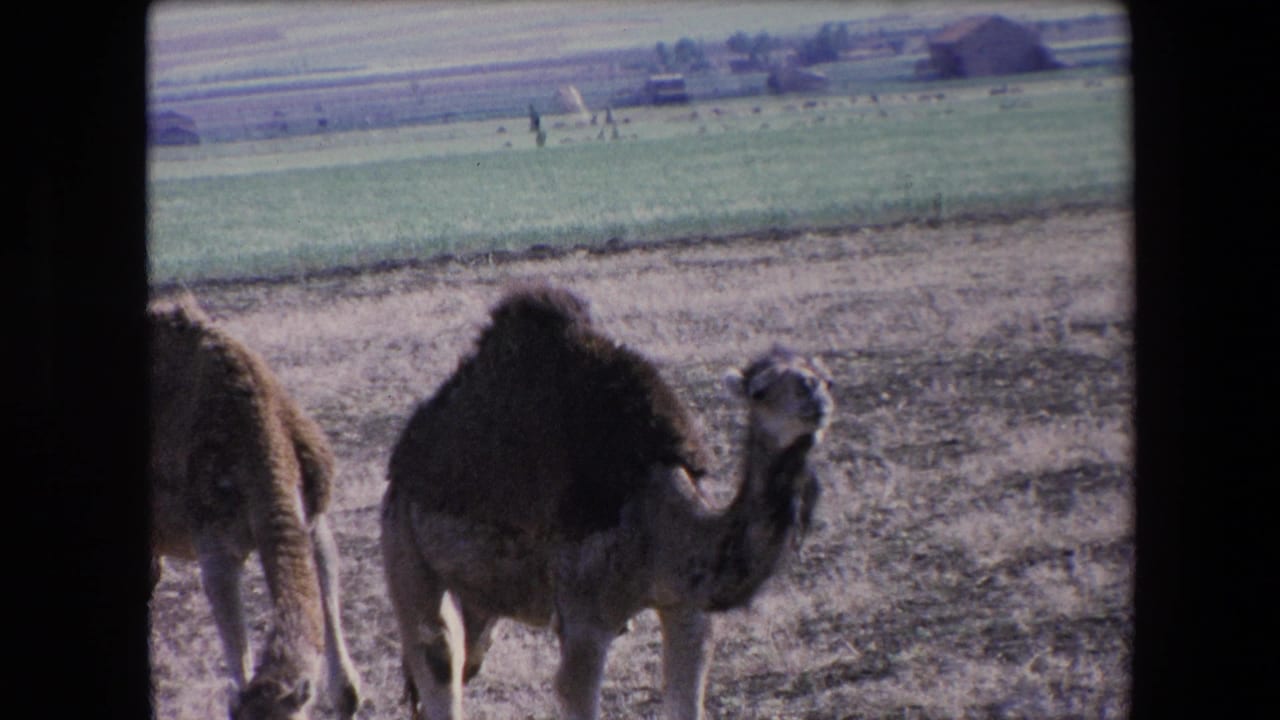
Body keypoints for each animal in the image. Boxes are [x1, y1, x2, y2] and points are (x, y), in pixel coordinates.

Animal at [381, 284, 832, 720]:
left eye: (822, 378)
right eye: (759, 390)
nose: (817, 399)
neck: (663, 521)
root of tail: (403, 462)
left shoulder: (687, 609)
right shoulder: (586, 618)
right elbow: (572, 687)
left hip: (480, 596)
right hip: (405, 546)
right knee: (437, 657)